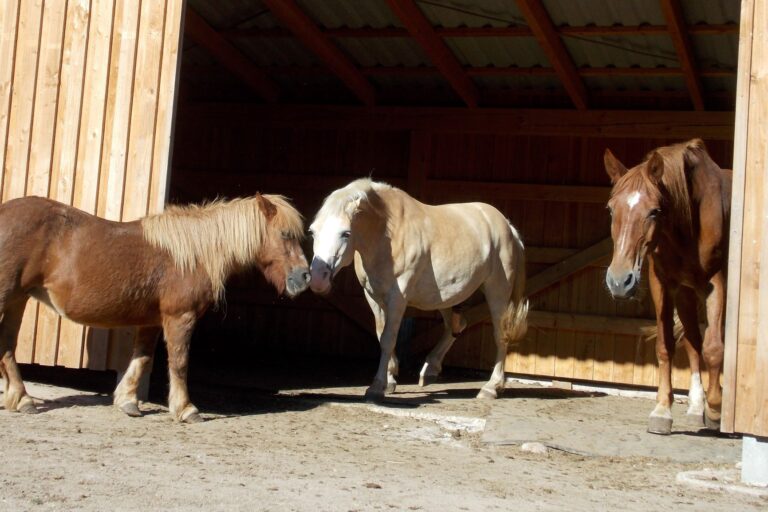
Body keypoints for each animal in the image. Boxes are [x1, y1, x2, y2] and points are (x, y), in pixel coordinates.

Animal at [0, 194, 308, 422]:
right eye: (285, 234)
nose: (304, 276)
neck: (194, 254)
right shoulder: (180, 317)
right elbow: (179, 362)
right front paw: (185, 409)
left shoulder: (151, 321)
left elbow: (143, 359)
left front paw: (127, 401)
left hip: (18, 299)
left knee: (8, 346)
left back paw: (21, 398)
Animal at [306, 179, 528, 400]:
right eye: (313, 232)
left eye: (346, 233)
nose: (317, 279)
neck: (386, 236)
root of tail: (508, 226)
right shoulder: (373, 297)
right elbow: (381, 333)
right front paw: (390, 380)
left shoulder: (398, 298)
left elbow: (388, 338)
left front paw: (376, 387)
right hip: (447, 296)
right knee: (456, 325)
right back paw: (430, 370)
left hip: (497, 291)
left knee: (500, 335)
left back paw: (491, 387)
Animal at [604, 140, 728, 436]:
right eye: (611, 209)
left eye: (654, 211)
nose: (619, 281)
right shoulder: (662, 283)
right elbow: (666, 345)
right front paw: (662, 410)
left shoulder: (716, 282)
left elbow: (714, 348)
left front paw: (716, 409)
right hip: (685, 294)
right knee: (693, 343)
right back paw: (695, 408)